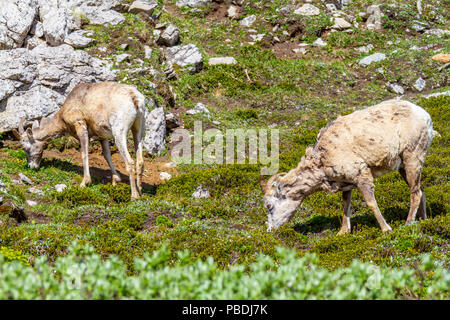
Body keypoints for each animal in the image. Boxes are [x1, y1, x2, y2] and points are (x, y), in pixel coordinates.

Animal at [13, 81, 146, 199]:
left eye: (24, 147)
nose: (32, 166)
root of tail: (135, 98)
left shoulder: (80, 125)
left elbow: (84, 154)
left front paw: (84, 183)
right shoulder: (102, 137)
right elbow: (107, 155)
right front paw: (115, 180)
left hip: (119, 132)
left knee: (130, 162)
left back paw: (134, 196)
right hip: (138, 129)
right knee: (140, 160)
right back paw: (140, 191)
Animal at [260, 100, 436, 235]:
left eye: (269, 206)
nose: (270, 230)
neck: (322, 160)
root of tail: (426, 116)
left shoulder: (361, 175)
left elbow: (371, 203)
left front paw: (386, 229)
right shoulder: (346, 183)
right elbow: (346, 204)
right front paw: (343, 232)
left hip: (412, 157)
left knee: (415, 192)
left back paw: (408, 223)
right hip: (403, 167)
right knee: (420, 189)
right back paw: (423, 220)